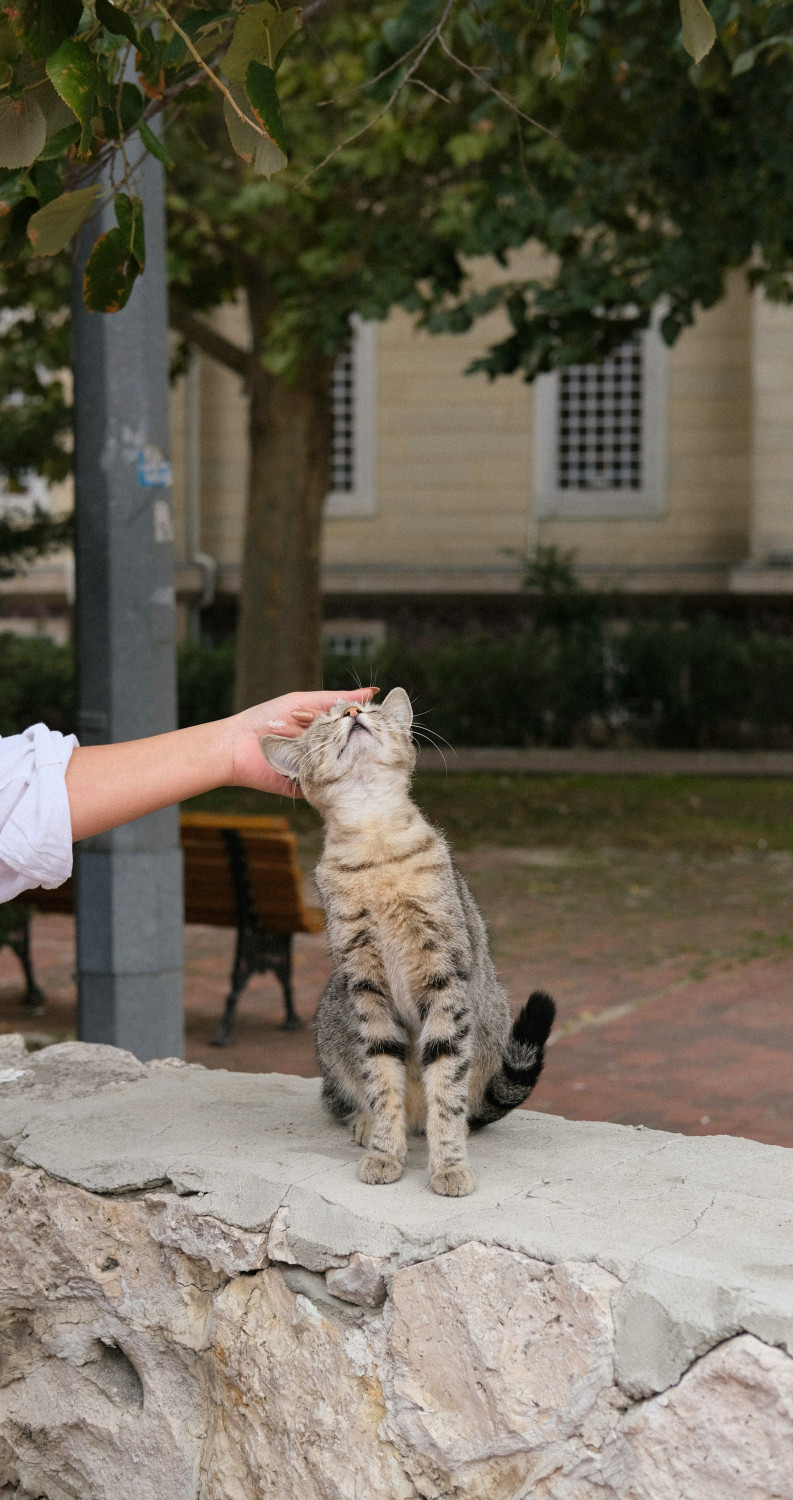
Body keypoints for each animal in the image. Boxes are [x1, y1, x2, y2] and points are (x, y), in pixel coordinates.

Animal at [262, 687, 554, 1194]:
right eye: (325, 723)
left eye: (368, 708)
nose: (352, 710)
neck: (376, 842)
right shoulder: (365, 986)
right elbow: (382, 1082)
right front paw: (385, 1150)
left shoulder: (444, 979)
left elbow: (447, 1089)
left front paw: (449, 1164)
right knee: (350, 1099)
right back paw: (366, 1124)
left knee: (460, 1106)